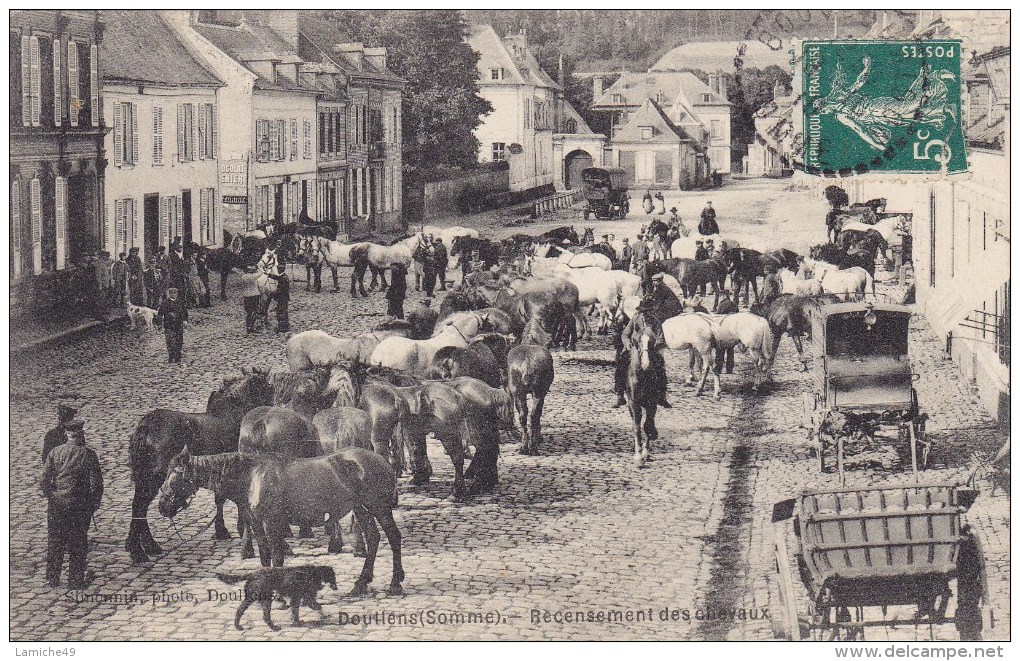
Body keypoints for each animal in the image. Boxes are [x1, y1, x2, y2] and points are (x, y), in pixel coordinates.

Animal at [127, 371, 275, 563]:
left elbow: (220, 499)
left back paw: (143, 546)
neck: (231, 412)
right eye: (268, 389)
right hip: (154, 478)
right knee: (140, 506)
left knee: (138, 506)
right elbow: (222, 499)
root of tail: (145, 427)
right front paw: (227, 529)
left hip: (142, 477)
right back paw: (140, 551)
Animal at [157, 448, 403, 595]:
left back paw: (395, 583)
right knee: (373, 538)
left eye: (174, 475)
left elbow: (276, 558)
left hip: (379, 507)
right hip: (362, 509)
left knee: (393, 537)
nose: (162, 506)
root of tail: (382, 461)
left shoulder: (271, 524)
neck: (252, 477)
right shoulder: (257, 525)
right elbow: (265, 558)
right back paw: (361, 583)